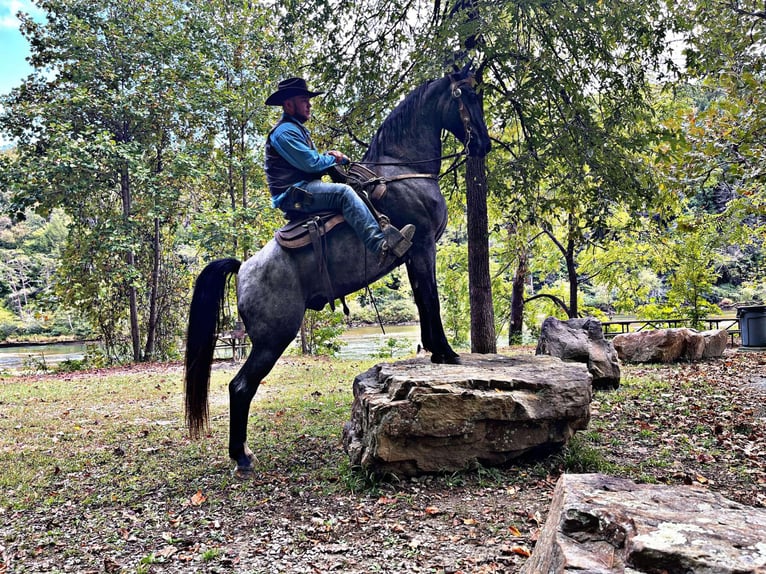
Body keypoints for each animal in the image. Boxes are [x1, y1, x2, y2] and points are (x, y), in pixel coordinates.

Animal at [186, 68, 492, 472]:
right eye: (466, 97)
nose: (484, 145)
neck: (403, 171)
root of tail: (244, 268)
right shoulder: (423, 245)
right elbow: (431, 299)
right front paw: (447, 352)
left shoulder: (415, 255)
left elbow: (422, 299)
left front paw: (436, 351)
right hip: (272, 339)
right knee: (240, 386)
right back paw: (241, 456)